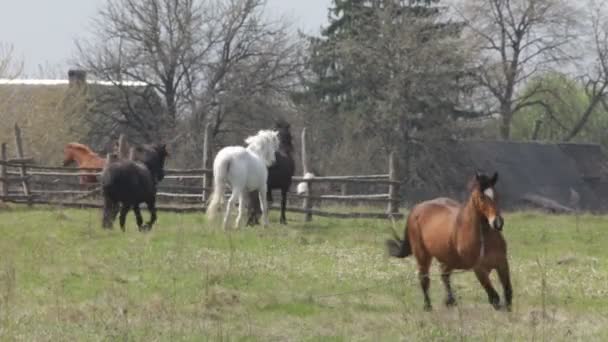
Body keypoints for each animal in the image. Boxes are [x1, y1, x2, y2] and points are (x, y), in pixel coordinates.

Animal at [388, 172, 510, 312]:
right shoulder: (479, 269)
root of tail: (416, 210)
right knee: (424, 278)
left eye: (497, 194)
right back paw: (428, 306)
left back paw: (449, 301)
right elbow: (494, 297)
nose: (497, 223)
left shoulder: (502, 264)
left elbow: (508, 293)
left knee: (444, 274)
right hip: (422, 255)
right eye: (481, 197)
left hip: (449, 258)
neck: (484, 238)